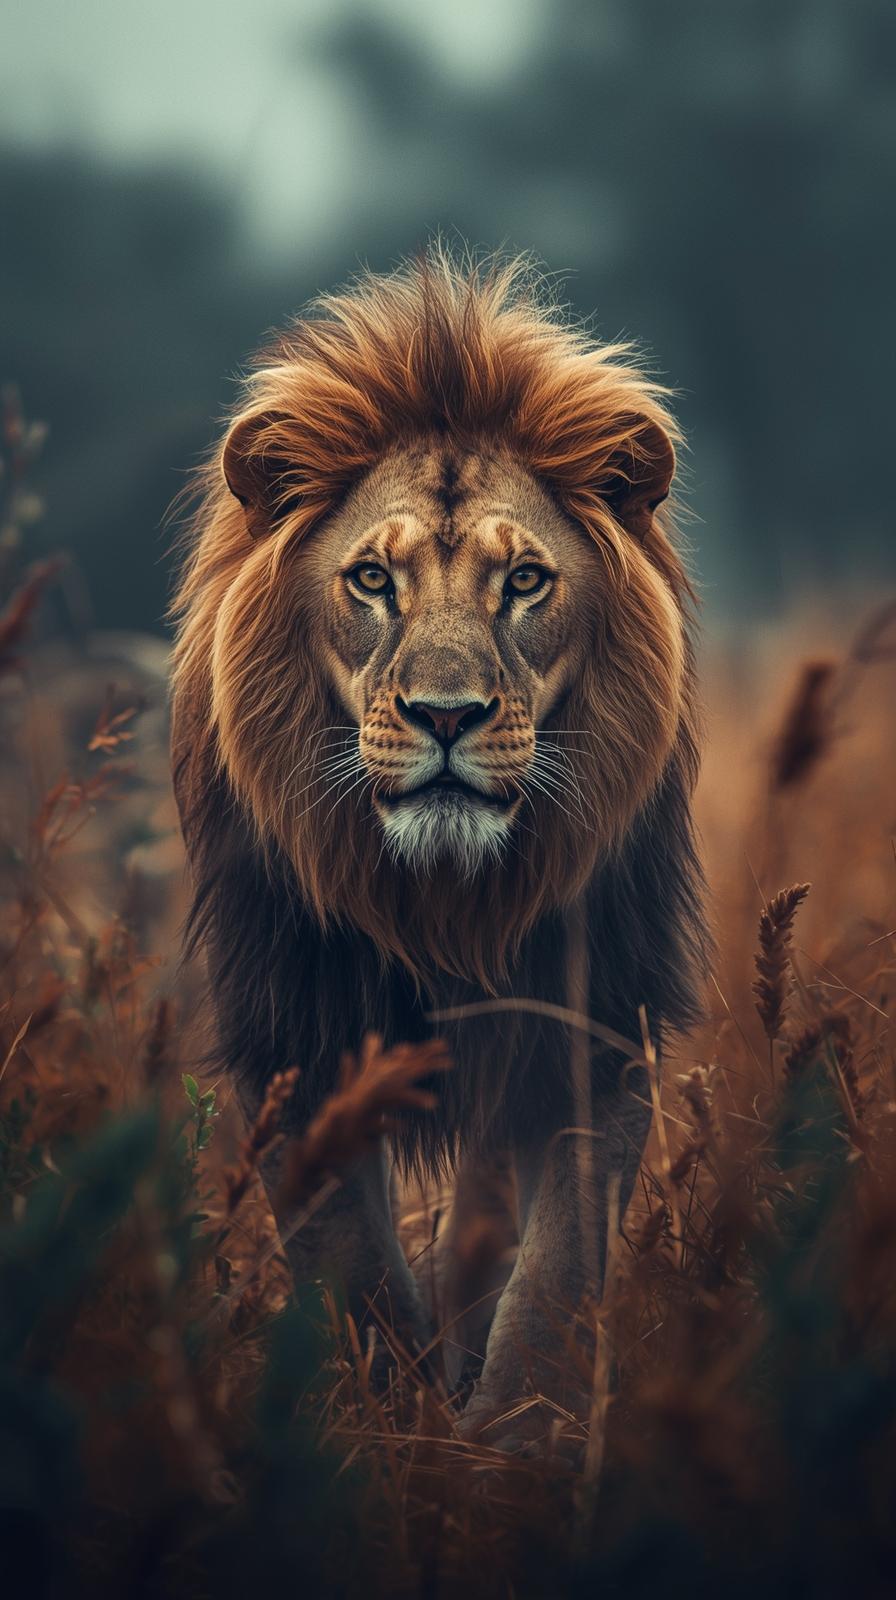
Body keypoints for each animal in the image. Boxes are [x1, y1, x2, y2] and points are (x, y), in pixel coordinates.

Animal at [171, 248, 708, 1447]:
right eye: (373, 579)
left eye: (525, 581)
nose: (447, 716)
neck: (444, 903)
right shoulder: (299, 1037)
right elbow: (359, 1276)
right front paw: (406, 1437)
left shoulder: (595, 1019)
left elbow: (555, 1271)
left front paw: (512, 1447)